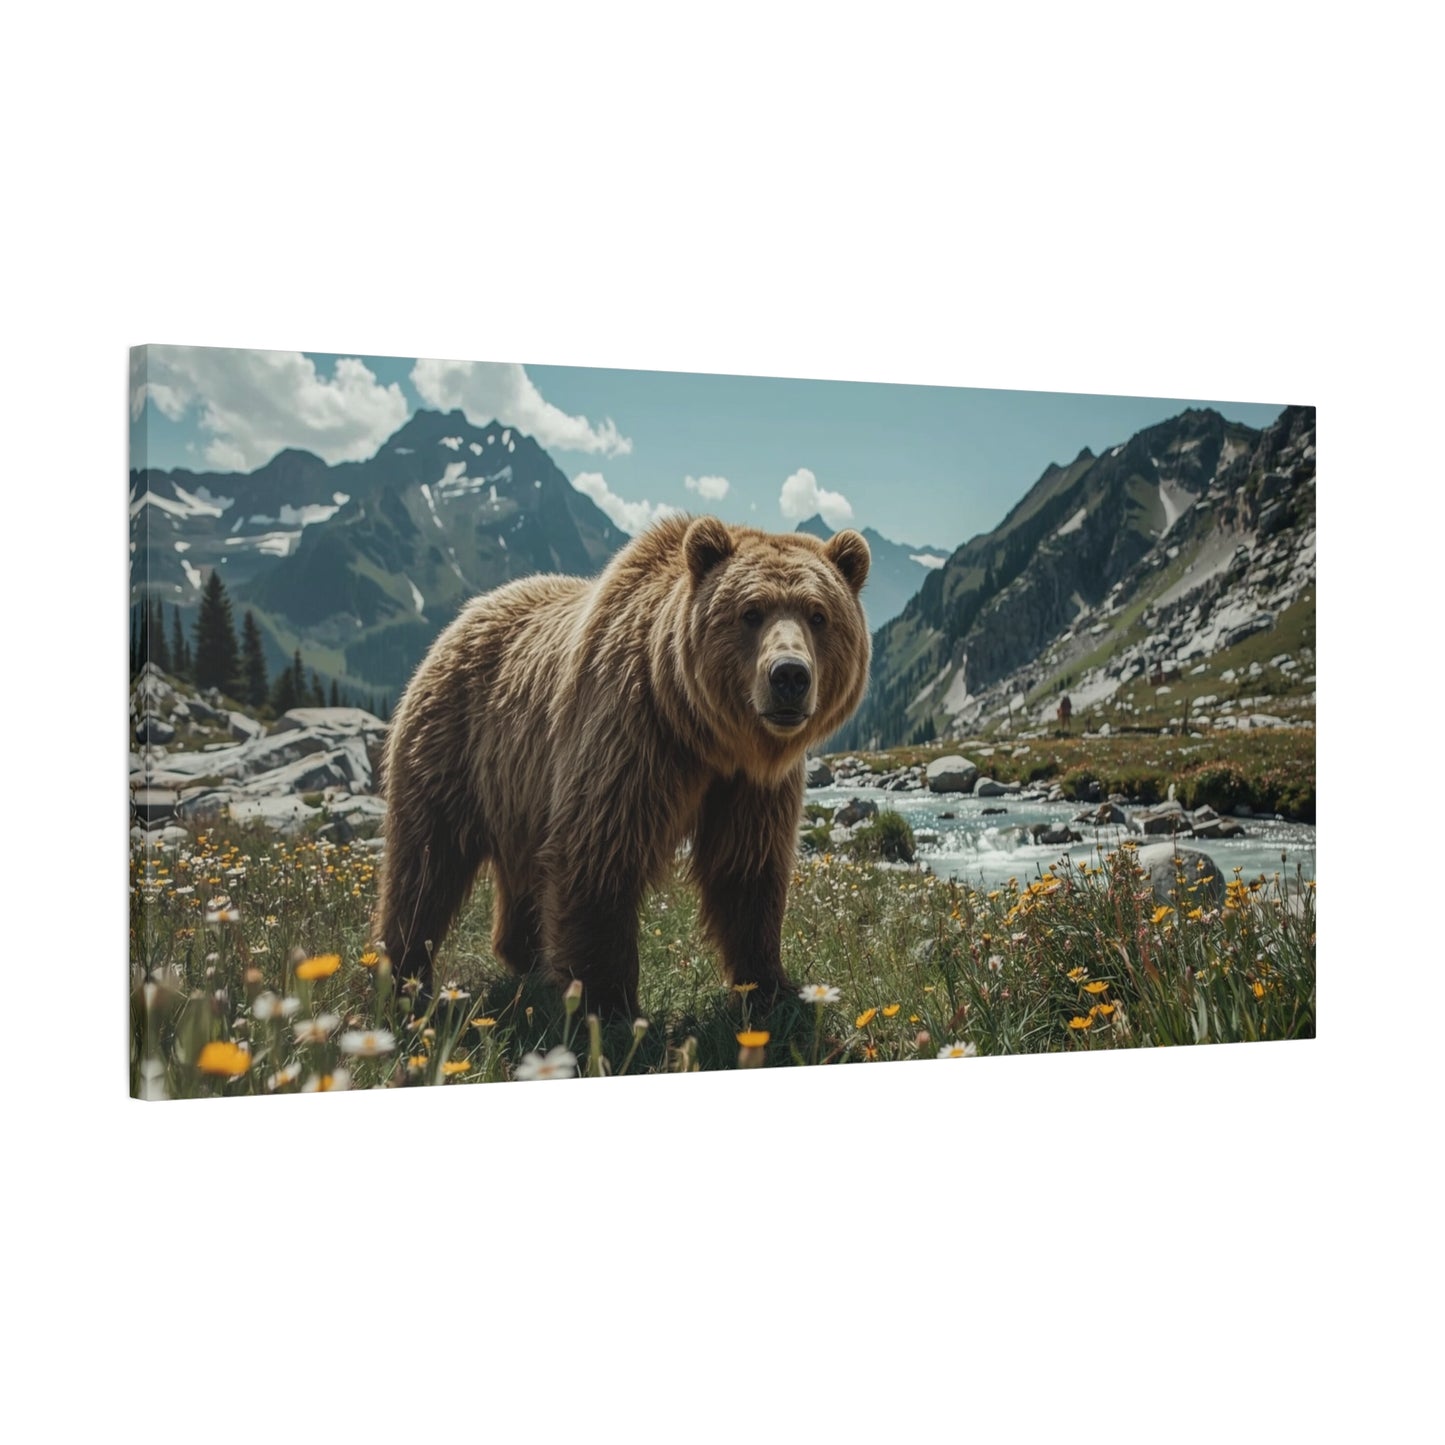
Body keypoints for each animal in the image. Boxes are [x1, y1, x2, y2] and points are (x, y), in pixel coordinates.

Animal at [372, 514, 871, 1019]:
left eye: (818, 615)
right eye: (751, 612)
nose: (789, 675)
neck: (706, 736)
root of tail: (463, 617)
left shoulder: (750, 786)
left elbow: (747, 869)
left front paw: (772, 988)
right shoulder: (631, 737)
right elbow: (600, 853)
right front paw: (608, 1004)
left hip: (519, 789)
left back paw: (526, 959)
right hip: (454, 744)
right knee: (425, 863)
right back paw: (404, 973)